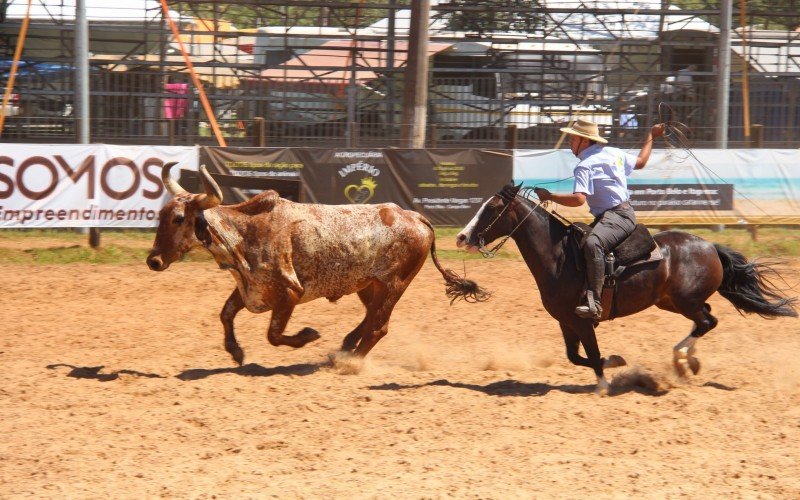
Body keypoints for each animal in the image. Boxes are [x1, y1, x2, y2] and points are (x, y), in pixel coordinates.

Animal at [454, 182, 796, 396]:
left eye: (492, 208)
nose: (461, 237)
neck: (559, 257)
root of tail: (710, 246)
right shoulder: (565, 321)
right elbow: (574, 357)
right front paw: (615, 363)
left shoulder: (582, 320)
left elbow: (592, 354)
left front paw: (605, 382)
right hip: (671, 301)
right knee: (707, 318)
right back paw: (689, 362)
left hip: (685, 301)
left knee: (708, 321)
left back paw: (683, 358)